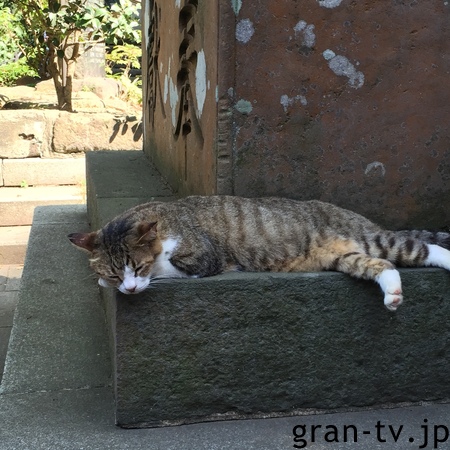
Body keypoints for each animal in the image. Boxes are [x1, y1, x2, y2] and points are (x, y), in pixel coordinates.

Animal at [68, 195, 450, 311]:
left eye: (139, 266)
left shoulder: (203, 257)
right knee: (383, 265)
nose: (129, 288)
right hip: (344, 256)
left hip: (371, 238)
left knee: (422, 247)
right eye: (114, 271)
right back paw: (393, 294)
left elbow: (171, 267)